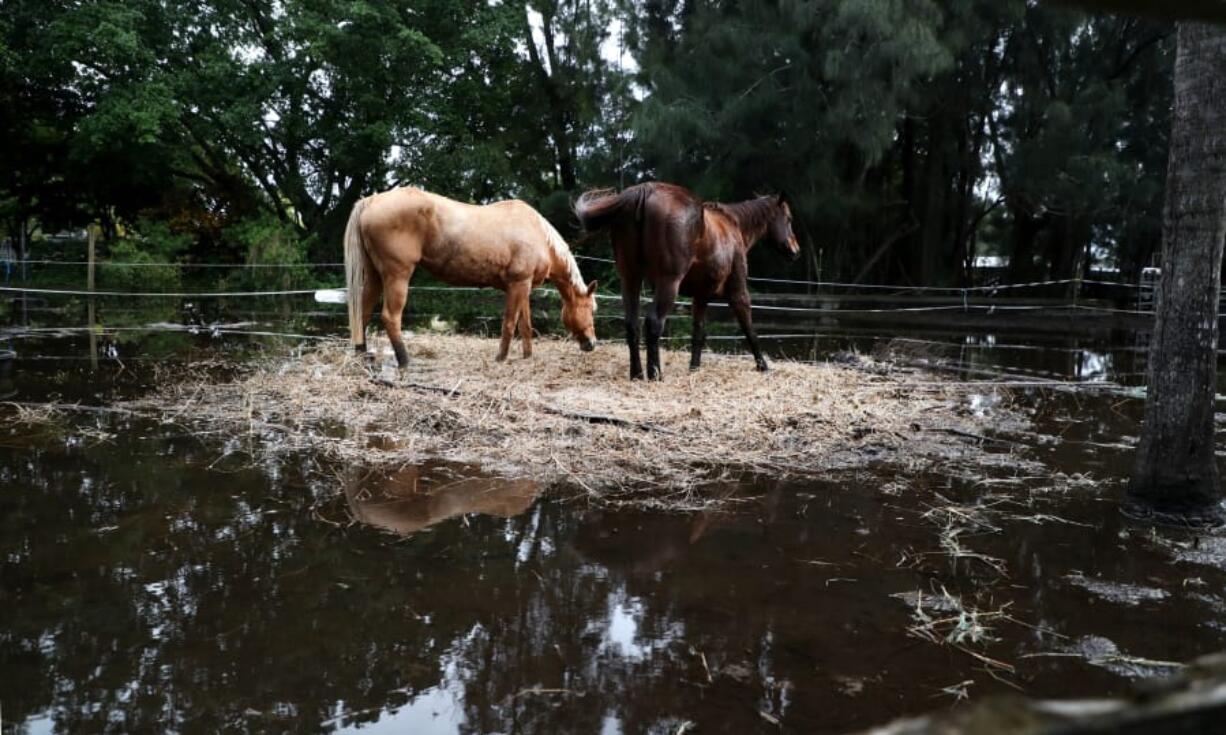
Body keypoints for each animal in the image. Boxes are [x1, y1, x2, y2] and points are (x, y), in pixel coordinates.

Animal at [345, 184, 598, 365]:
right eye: (591, 308)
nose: (592, 344)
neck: (538, 234)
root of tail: (371, 201)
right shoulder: (517, 285)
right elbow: (509, 322)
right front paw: (501, 357)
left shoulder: (523, 287)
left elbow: (524, 323)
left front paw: (527, 355)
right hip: (397, 276)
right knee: (390, 317)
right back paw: (405, 360)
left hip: (375, 276)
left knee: (362, 312)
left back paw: (362, 355)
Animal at [576, 182, 799, 379]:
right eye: (788, 219)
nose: (795, 251)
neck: (733, 225)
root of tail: (644, 191)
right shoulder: (738, 292)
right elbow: (749, 329)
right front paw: (763, 366)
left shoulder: (700, 297)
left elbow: (698, 333)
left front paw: (694, 368)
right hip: (668, 283)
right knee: (654, 323)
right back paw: (655, 375)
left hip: (630, 279)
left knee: (632, 325)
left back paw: (637, 374)